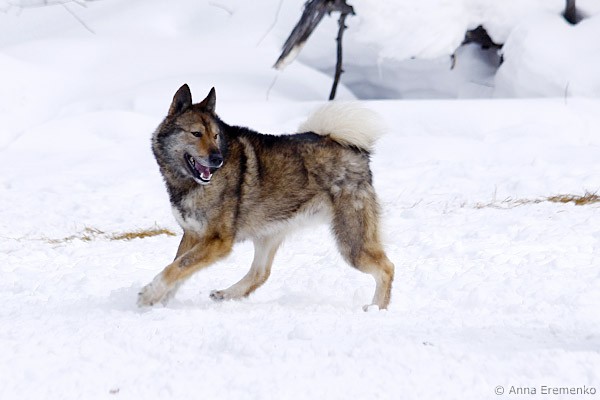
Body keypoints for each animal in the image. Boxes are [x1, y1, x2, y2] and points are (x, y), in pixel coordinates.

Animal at [137, 84, 394, 310]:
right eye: (196, 133)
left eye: (216, 135)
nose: (217, 159)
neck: (188, 183)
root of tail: (354, 150)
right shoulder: (192, 234)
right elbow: (178, 267)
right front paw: (159, 300)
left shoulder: (218, 241)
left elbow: (177, 267)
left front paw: (149, 294)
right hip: (268, 233)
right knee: (261, 273)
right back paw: (226, 294)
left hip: (351, 242)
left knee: (387, 268)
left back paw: (377, 309)